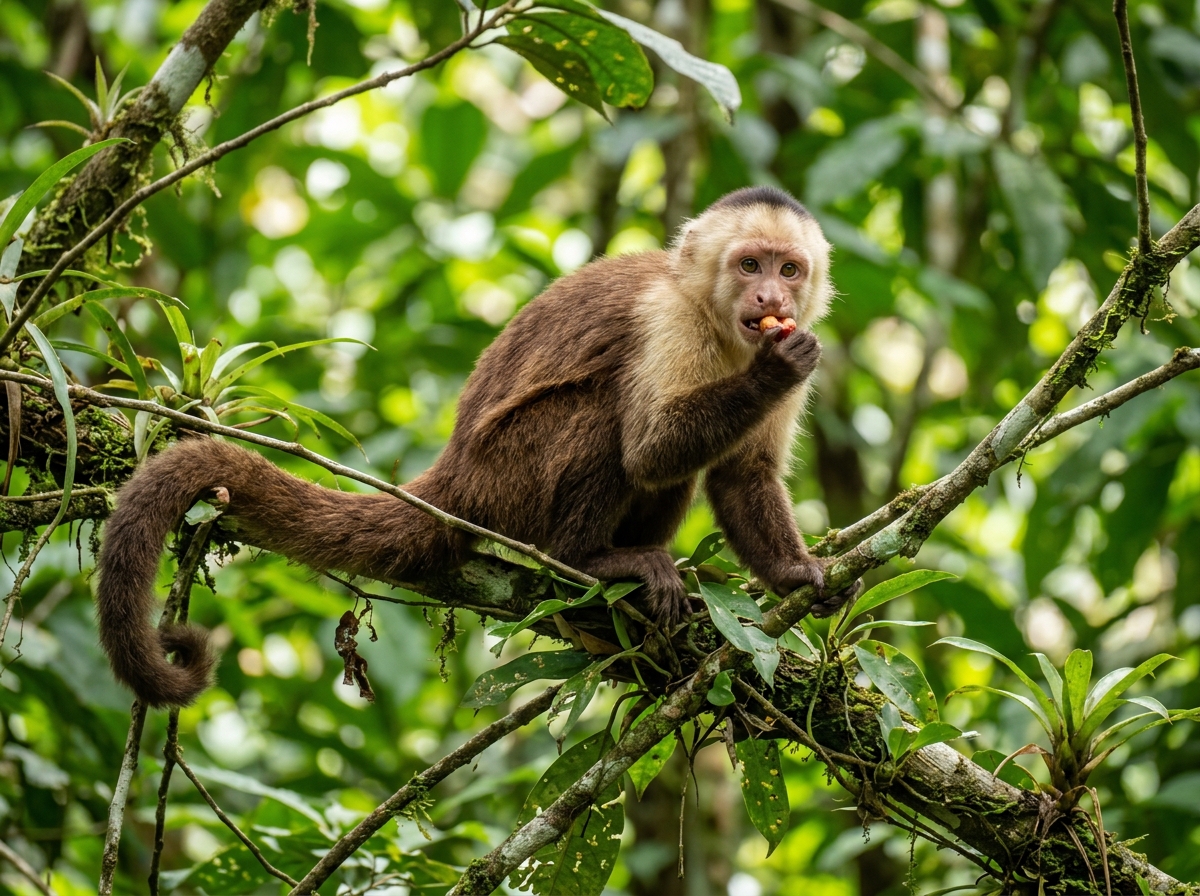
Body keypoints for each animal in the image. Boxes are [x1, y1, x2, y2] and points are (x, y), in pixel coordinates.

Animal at [95, 185, 852, 708]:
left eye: (789, 270)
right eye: (749, 264)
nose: (769, 297)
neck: (721, 330)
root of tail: (456, 473)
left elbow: (743, 475)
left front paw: (794, 575)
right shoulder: (668, 321)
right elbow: (650, 447)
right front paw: (767, 374)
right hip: (509, 475)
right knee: (605, 416)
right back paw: (591, 563)